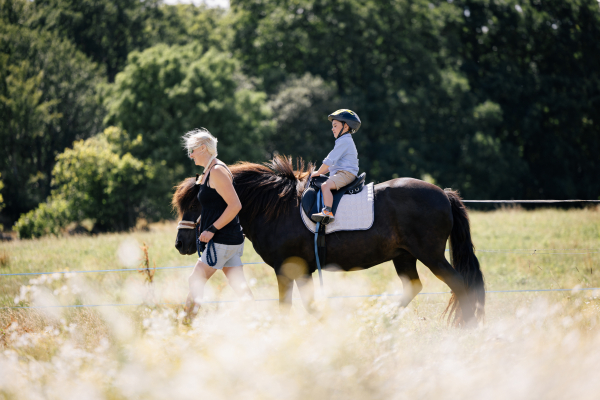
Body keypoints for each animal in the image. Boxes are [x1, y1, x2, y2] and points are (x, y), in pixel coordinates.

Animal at [171, 155, 486, 326]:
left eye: (197, 204)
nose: (181, 244)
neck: (275, 206)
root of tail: (444, 193)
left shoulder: (288, 268)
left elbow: (291, 306)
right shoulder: (299, 271)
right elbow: (305, 306)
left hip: (431, 255)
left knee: (460, 285)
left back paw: (466, 327)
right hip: (404, 256)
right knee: (413, 287)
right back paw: (381, 322)